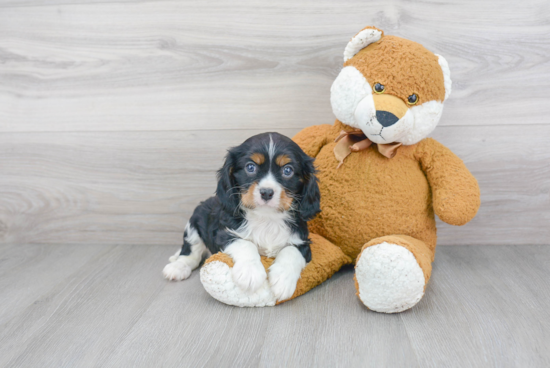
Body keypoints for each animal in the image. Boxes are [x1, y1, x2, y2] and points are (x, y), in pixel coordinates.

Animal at [162, 132, 322, 302]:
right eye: (250, 167)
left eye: (288, 170)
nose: (266, 192)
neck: (267, 218)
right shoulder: (224, 233)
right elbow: (245, 244)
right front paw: (250, 273)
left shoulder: (302, 241)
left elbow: (291, 251)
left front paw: (282, 280)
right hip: (195, 222)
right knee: (190, 252)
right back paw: (177, 266)